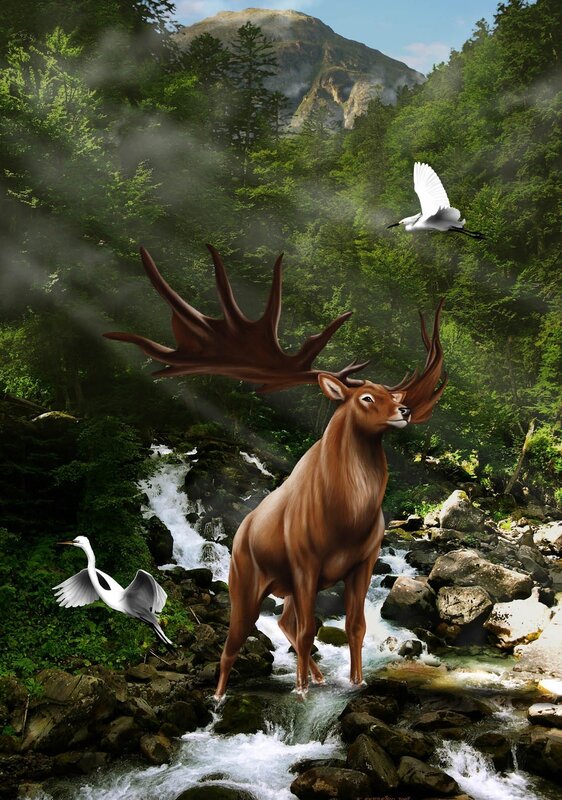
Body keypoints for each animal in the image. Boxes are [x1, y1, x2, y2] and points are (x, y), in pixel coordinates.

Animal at [105, 246, 446, 699]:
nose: (404, 410)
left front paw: (354, 682)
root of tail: (239, 533)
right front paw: (300, 692)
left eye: (391, 394)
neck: (347, 517)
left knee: (283, 621)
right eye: (367, 397)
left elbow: (354, 626)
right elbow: (307, 630)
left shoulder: (365, 560)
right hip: (245, 580)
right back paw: (221, 695)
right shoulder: (304, 560)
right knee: (237, 639)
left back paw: (316, 677)